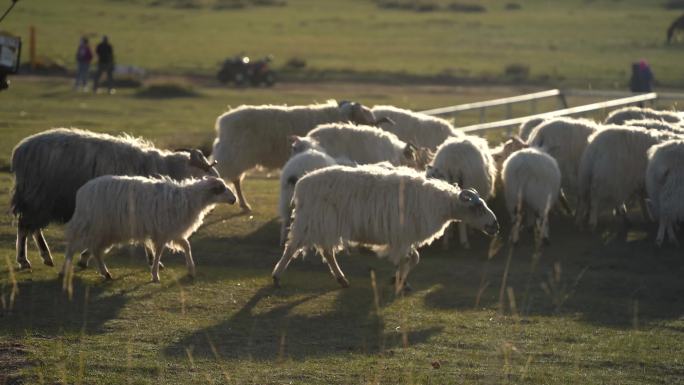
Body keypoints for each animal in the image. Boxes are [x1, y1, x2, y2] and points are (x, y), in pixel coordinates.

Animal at [62, 176, 238, 280]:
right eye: (221, 188)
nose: (234, 199)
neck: (190, 200)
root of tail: (82, 190)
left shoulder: (173, 231)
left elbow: (187, 246)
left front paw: (191, 269)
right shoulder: (162, 232)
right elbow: (159, 253)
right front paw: (155, 274)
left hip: (107, 232)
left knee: (97, 251)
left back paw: (106, 273)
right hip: (89, 225)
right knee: (72, 247)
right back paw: (64, 270)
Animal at [211, 100, 382, 212]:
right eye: (364, 116)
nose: (376, 127)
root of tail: (223, 121)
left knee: (235, 179)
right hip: (233, 155)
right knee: (232, 178)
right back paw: (241, 204)